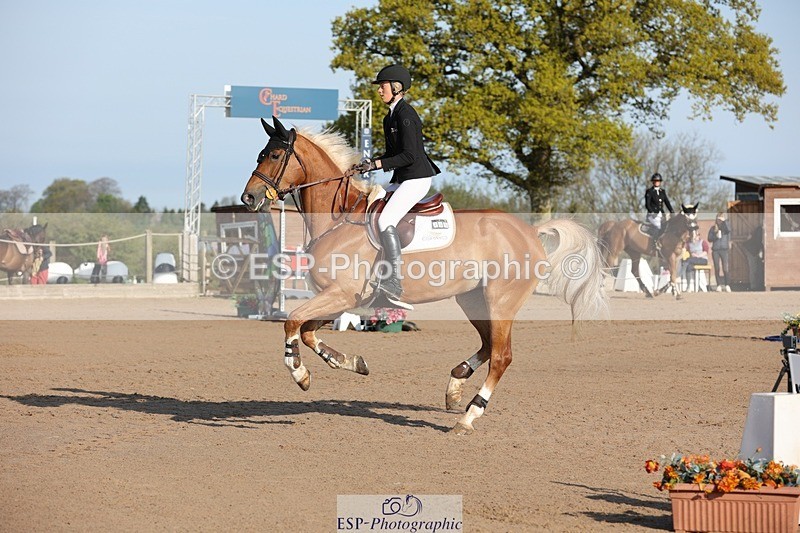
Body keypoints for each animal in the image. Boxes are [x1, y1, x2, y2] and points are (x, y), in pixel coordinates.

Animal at [240, 116, 607, 435]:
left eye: (275, 155)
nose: (249, 198)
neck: (339, 218)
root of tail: (531, 231)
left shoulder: (341, 294)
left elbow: (292, 322)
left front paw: (299, 373)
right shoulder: (340, 300)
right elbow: (307, 332)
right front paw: (350, 361)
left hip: (500, 301)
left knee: (502, 356)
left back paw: (468, 417)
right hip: (472, 299)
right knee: (488, 345)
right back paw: (456, 385)